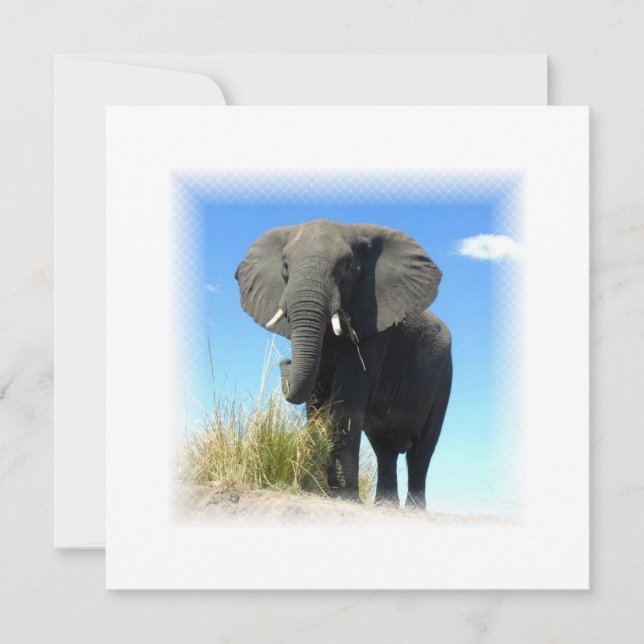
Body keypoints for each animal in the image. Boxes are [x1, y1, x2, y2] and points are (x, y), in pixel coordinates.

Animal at [235, 218, 452, 508]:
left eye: (348, 266)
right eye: (285, 266)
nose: (286, 361)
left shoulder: (374, 322)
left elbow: (349, 392)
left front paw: (343, 496)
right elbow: (316, 396)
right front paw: (317, 489)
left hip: (444, 375)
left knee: (421, 450)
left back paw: (413, 510)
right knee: (384, 448)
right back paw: (385, 505)